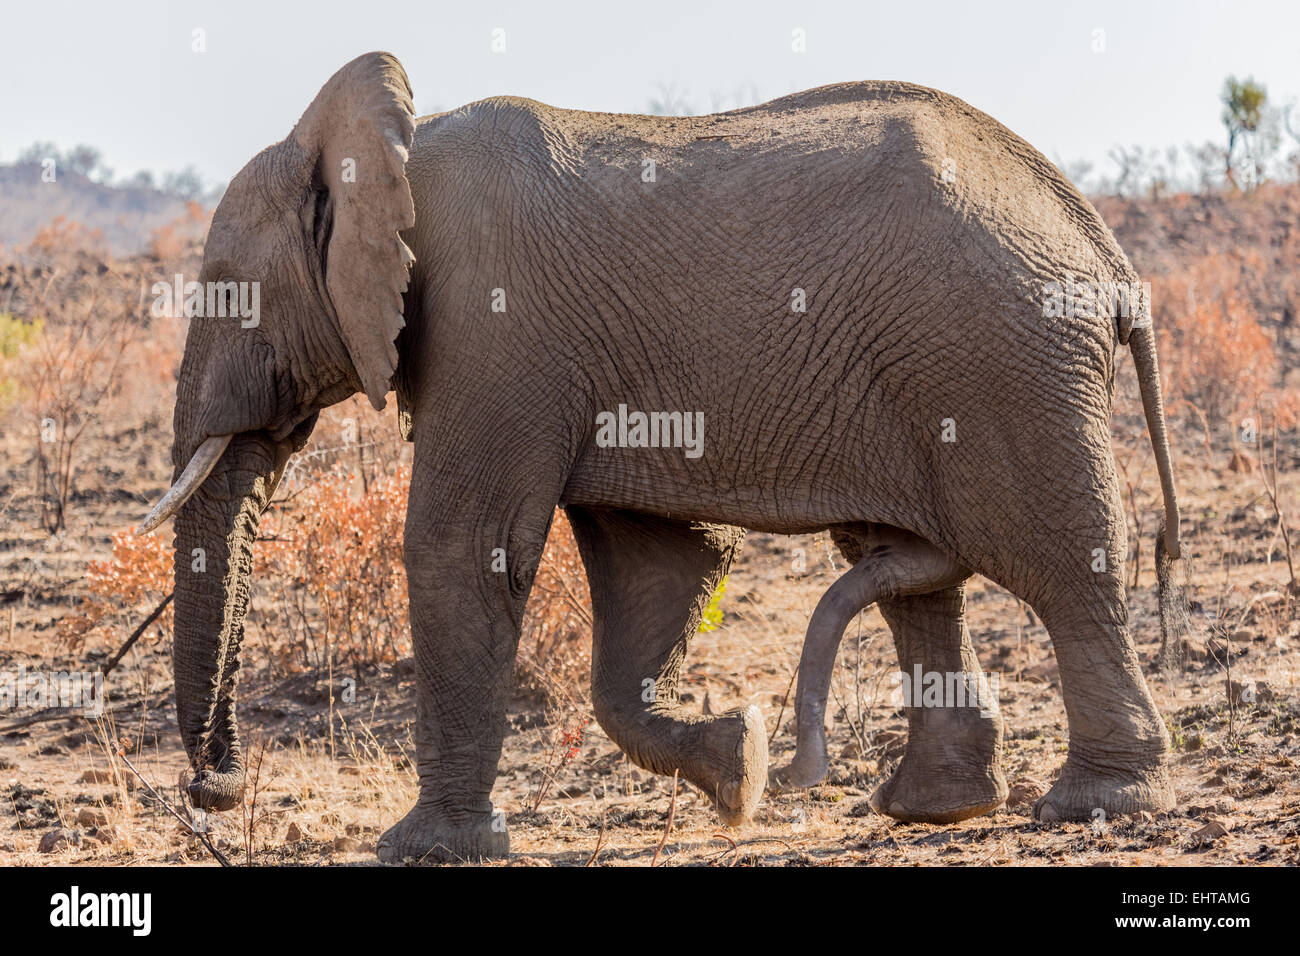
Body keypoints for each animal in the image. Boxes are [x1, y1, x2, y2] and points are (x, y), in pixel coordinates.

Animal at [137, 48, 1185, 863]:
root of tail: (1104, 253)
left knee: (1061, 563)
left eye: (225, 289)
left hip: (999, 363)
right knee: (913, 575)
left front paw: (425, 850)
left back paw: (1095, 805)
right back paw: (932, 809)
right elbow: (661, 568)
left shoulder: (494, 328)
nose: (213, 791)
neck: (378, 144)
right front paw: (742, 766)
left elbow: (465, 548)